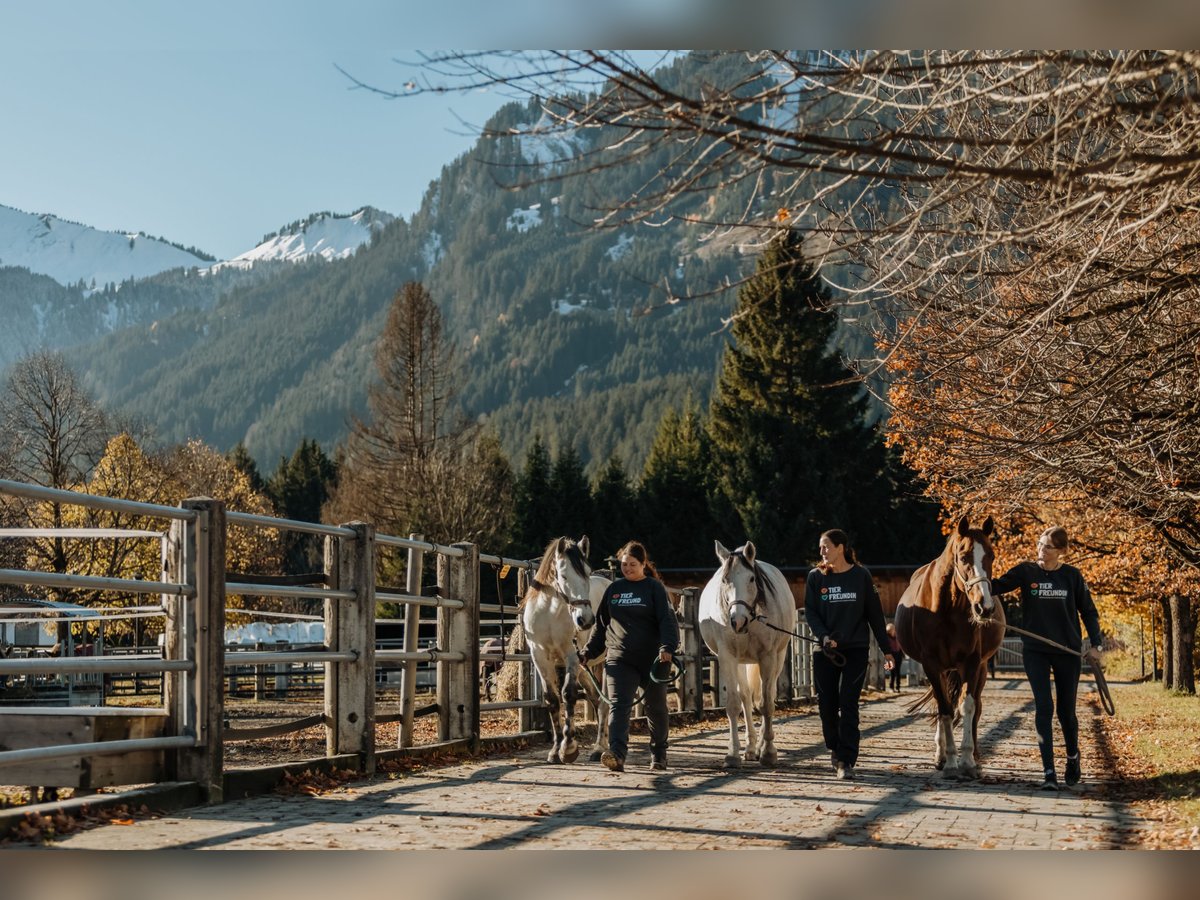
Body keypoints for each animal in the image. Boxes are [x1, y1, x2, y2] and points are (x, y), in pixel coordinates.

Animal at [518, 540, 609, 763]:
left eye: (587, 572)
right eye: (564, 575)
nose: (586, 620)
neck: (550, 613)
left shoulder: (571, 656)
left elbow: (568, 694)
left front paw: (568, 748)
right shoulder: (540, 658)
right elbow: (552, 698)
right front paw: (555, 749)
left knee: (605, 703)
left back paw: (599, 748)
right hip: (586, 667)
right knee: (596, 698)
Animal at [696, 540, 796, 772]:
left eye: (751, 579)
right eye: (725, 580)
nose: (737, 621)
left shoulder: (768, 657)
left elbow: (767, 704)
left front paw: (768, 752)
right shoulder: (727, 657)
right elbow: (734, 704)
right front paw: (733, 755)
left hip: (778, 658)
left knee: (767, 695)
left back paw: (759, 747)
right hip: (742, 663)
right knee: (747, 698)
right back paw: (750, 748)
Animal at [897, 518, 1008, 777]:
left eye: (991, 555)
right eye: (964, 557)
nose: (984, 607)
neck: (946, 609)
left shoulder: (971, 663)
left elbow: (966, 707)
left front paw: (966, 760)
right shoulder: (931, 665)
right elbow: (945, 709)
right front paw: (948, 760)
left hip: (981, 669)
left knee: (976, 707)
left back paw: (975, 757)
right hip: (942, 670)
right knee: (942, 705)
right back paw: (940, 755)